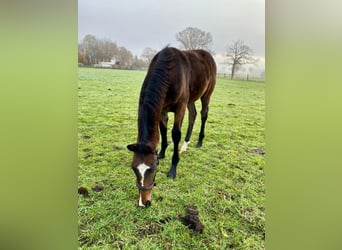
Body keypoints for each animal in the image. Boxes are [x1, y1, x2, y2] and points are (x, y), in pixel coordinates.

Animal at [127, 47, 215, 207]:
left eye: (152, 169)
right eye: (134, 168)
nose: (144, 202)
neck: (168, 73)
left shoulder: (180, 107)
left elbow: (175, 134)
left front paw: (173, 170)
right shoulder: (162, 108)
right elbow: (162, 131)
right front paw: (161, 152)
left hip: (206, 94)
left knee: (203, 114)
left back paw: (199, 141)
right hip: (191, 99)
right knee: (193, 114)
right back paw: (185, 146)